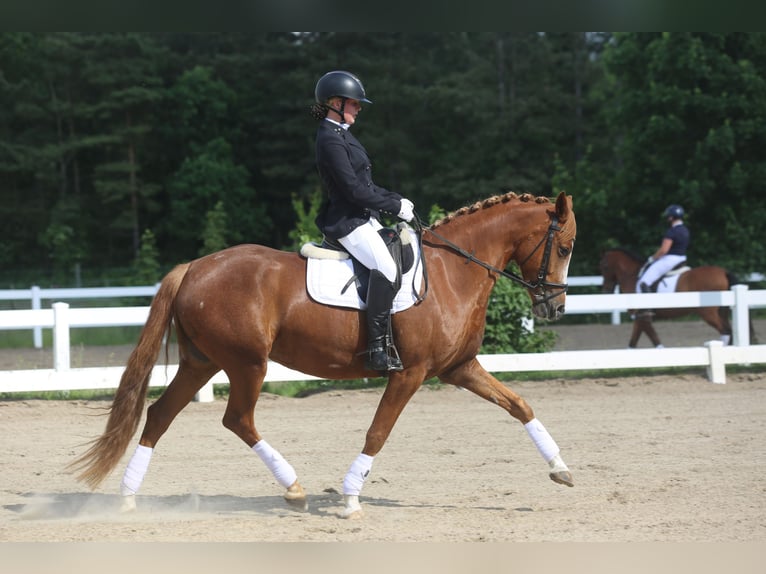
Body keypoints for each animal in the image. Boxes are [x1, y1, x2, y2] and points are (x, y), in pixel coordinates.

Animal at [70, 191, 576, 520]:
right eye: (565, 246)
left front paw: (562, 469)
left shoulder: (458, 368)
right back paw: (293, 488)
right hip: (247, 363)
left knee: (160, 415)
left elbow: (519, 404)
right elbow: (377, 432)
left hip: (202, 362)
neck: (453, 270)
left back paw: (129, 496)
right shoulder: (409, 373)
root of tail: (194, 267)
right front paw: (351, 499)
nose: (554, 308)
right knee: (238, 419)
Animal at [596, 249, 748, 348]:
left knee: (725, 331)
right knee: (729, 331)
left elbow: (654, 339)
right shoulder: (639, 317)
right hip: (722, 311)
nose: (606, 290)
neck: (632, 277)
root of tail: (723, 272)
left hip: (708, 313)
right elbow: (633, 343)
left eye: (604, 266)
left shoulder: (643, 317)